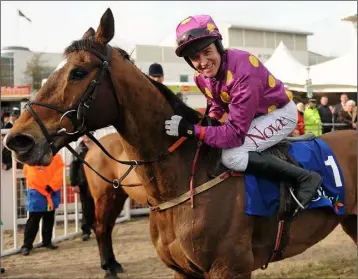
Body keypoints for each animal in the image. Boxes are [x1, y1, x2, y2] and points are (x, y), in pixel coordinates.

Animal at [83, 133, 146, 278]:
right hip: (104, 198)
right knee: (100, 227)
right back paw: (108, 268)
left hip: (117, 198)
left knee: (108, 227)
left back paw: (113, 264)